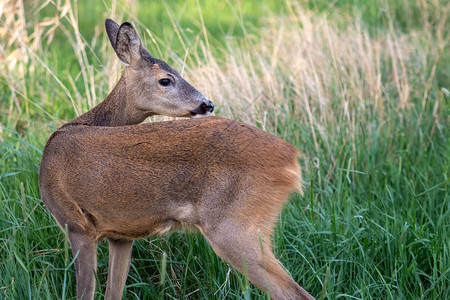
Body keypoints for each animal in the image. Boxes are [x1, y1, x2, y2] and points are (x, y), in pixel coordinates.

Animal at [38, 19, 314, 300]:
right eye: (165, 79)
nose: (207, 104)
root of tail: (291, 158)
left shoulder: (76, 224)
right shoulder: (122, 235)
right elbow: (114, 292)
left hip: (234, 226)